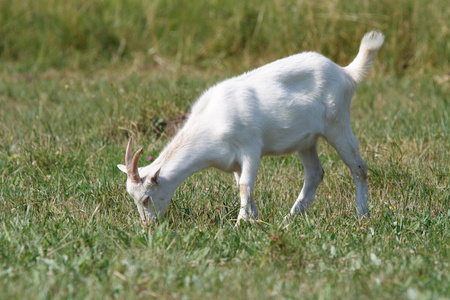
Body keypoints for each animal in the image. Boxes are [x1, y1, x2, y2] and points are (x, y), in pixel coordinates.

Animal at [118, 31, 384, 225]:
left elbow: (245, 186)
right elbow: (242, 186)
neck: (210, 124)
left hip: (338, 124)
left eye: (146, 199)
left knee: (359, 167)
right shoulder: (233, 161)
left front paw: (239, 224)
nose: (148, 226)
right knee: (315, 174)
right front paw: (253, 219)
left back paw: (362, 215)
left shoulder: (250, 149)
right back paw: (289, 218)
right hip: (306, 141)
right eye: (133, 199)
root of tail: (346, 72)